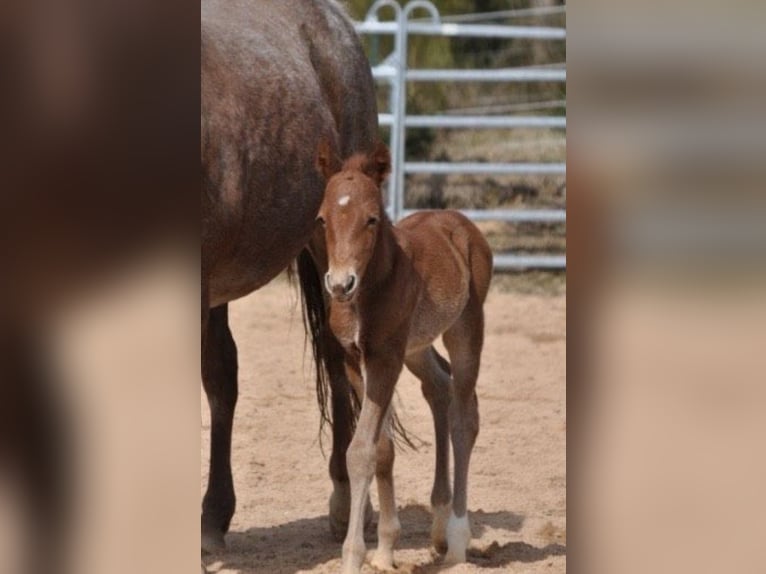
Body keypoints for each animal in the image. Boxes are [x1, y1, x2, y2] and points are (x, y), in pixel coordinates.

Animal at [314, 141, 493, 572]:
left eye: (372, 219)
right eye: (322, 219)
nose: (340, 284)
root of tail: (459, 221)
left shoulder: (385, 359)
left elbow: (360, 449)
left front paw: (353, 556)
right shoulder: (355, 359)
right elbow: (381, 448)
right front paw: (383, 550)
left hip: (465, 328)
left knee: (464, 417)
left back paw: (457, 540)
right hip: (417, 348)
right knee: (440, 389)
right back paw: (439, 525)